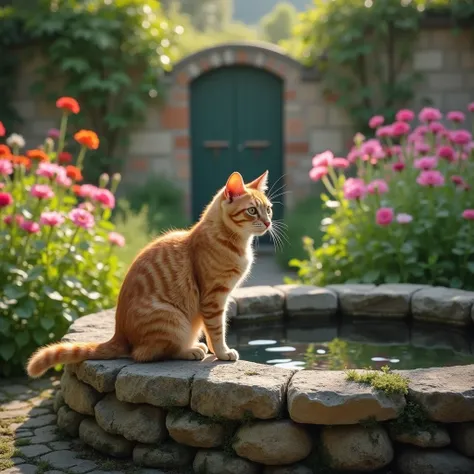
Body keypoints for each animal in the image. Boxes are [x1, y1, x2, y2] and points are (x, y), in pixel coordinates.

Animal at [25, 170, 272, 378]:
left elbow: (214, 329)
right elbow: (217, 330)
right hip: (173, 320)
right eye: (252, 210)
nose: (269, 222)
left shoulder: (223, 298)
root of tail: (119, 335)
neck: (235, 242)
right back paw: (190, 350)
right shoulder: (214, 297)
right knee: (146, 354)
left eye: (268, 209)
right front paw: (222, 353)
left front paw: (216, 350)